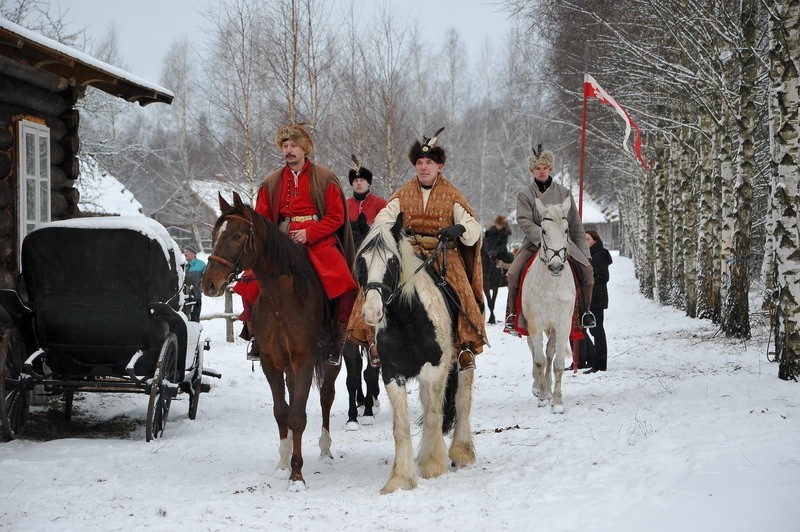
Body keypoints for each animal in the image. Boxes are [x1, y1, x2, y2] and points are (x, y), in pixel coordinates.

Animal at [200, 191, 340, 490]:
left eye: (237, 235)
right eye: (215, 234)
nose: (209, 284)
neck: (281, 299)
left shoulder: (304, 359)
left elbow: (298, 417)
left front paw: (297, 475)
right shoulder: (271, 362)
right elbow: (281, 412)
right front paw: (283, 463)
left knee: (326, 396)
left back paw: (325, 446)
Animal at [356, 213, 476, 494]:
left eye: (392, 261)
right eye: (362, 261)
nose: (372, 312)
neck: (407, 320)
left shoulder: (437, 370)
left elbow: (434, 415)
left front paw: (433, 465)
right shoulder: (392, 373)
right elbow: (401, 426)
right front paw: (401, 478)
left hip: (463, 358)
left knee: (463, 399)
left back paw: (461, 451)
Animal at [520, 197, 576, 414]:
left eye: (566, 230)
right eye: (543, 230)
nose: (556, 266)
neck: (552, 285)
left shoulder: (562, 325)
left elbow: (557, 362)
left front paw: (557, 402)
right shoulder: (535, 324)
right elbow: (539, 360)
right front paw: (543, 396)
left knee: (550, 354)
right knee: (535, 352)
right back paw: (539, 387)